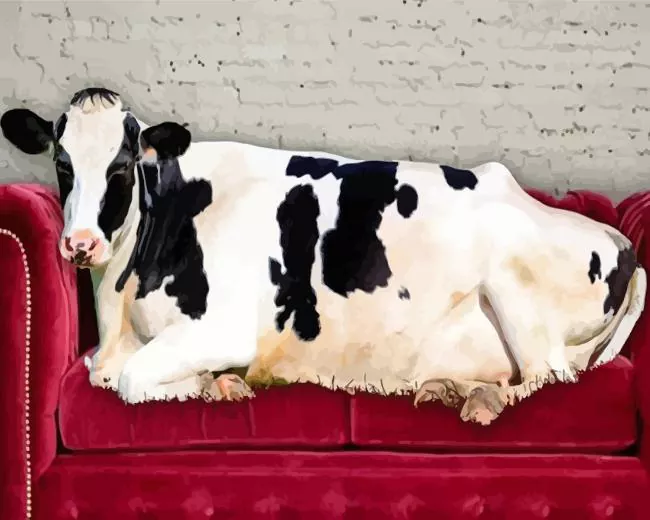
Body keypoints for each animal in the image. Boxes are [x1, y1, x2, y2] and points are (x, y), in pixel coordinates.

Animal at [1, 87, 646, 425]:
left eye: (122, 164)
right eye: (61, 163)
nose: (80, 243)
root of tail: (620, 240)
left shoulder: (226, 329)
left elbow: (133, 381)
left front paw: (214, 386)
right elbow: (105, 374)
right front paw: (214, 385)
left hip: (516, 291)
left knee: (547, 378)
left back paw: (478, 400)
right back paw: (445, 389)